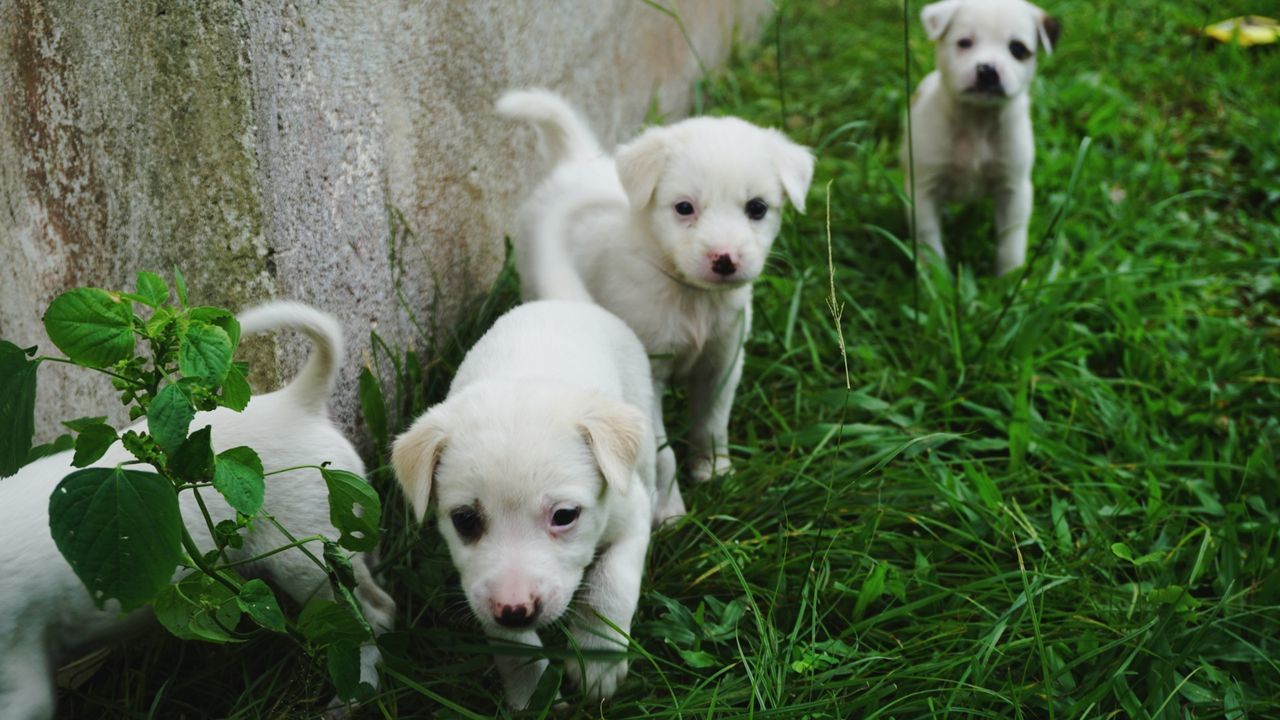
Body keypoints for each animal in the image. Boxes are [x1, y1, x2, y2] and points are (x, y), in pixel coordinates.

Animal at [494, 87, 814, 497]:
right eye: (684, 207)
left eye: (757, 208)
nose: (724, 259)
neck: (691, 296)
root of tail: (575, 160)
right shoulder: (649, 377)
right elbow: (661, 455)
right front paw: (671, 507)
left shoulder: (723, 360)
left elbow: (711, 425)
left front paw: (714, 472)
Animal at [906, 0, 1064, 274]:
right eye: (964, 42)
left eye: (1017, 49)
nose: (988, 71)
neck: (976, 121)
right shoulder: (923, 191)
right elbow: (929, 240)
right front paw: (934, 277)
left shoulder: (1014, 189)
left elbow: (1011, 239)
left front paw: (1009, 277)